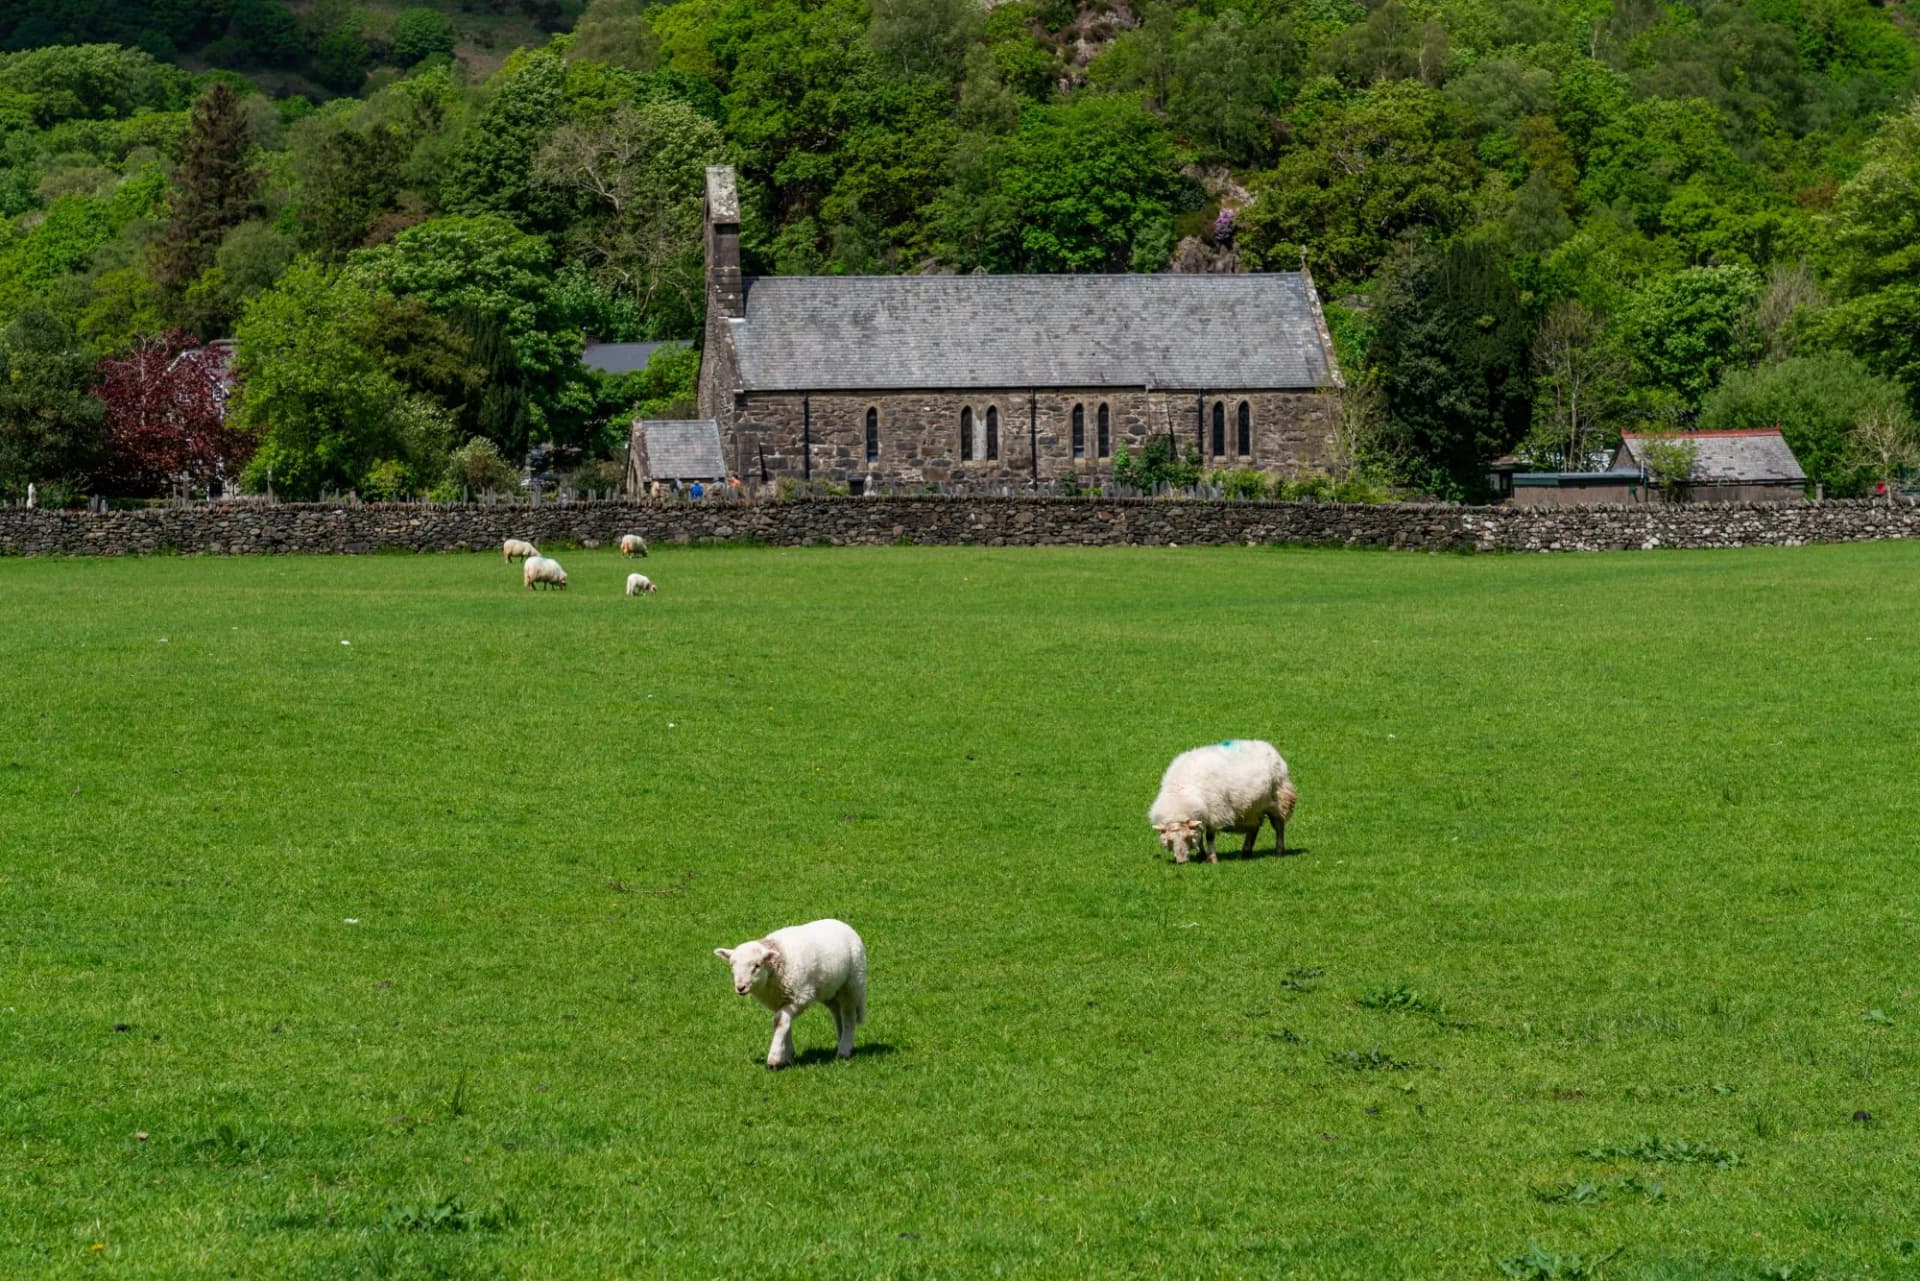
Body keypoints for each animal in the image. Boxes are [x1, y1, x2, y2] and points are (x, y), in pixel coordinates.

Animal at [714, 919, 866, 1069]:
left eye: (757, 965)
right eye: (732, 966)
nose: (740, 987)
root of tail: (841, 923)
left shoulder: (801, 997)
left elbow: (779, 1021)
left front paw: (775, 1058)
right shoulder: (779, 1000)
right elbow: (784, 1022)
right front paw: (787, 1055)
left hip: (852, 983)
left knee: (849, 1016)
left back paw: (844, 1050)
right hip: (830, 989)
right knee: (837, 1013)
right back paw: (842, 1040)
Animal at [1147, 739, 1297, 864]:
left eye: (1187, 838)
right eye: (1170, 841)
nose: (1182, 862)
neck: (1181, 791)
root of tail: (1269, 747)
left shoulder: (1214, 812)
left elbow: (1209, 837)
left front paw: (1212, 859)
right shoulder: (1202, 815)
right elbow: (1200, 837)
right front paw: (1201, 856)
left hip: (1279, 800)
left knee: (1278, 827)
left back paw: (1278, 851)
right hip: (1253, 807)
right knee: (1253, 828)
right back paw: (1246, 852)